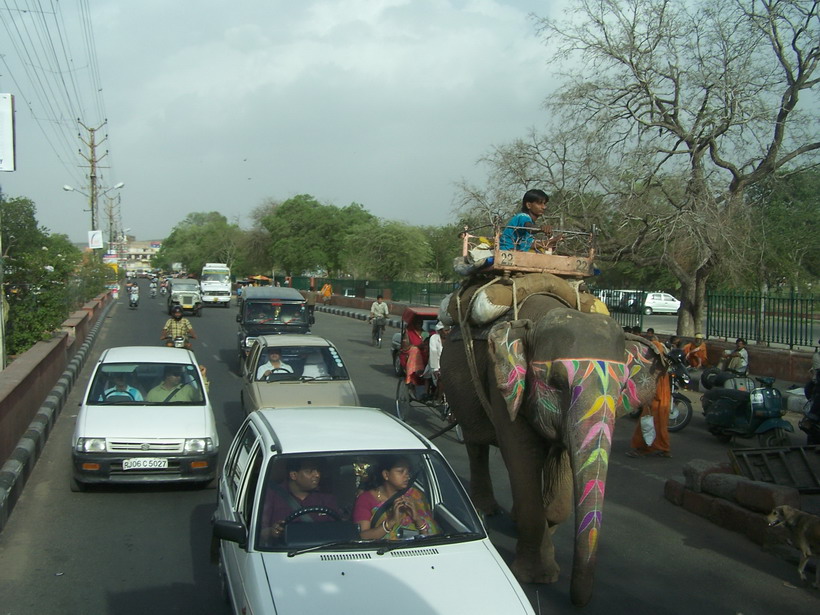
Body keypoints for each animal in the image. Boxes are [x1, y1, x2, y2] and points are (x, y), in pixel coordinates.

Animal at [442, 298, 668, 608]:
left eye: (622, 387)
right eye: (557, 383)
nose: (579, 603)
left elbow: (562, 464)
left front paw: (549, 525)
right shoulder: (502, 386)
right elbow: (523, 456)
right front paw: (538, 577)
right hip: (460, 389)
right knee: (476, 442)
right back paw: (485, 509)